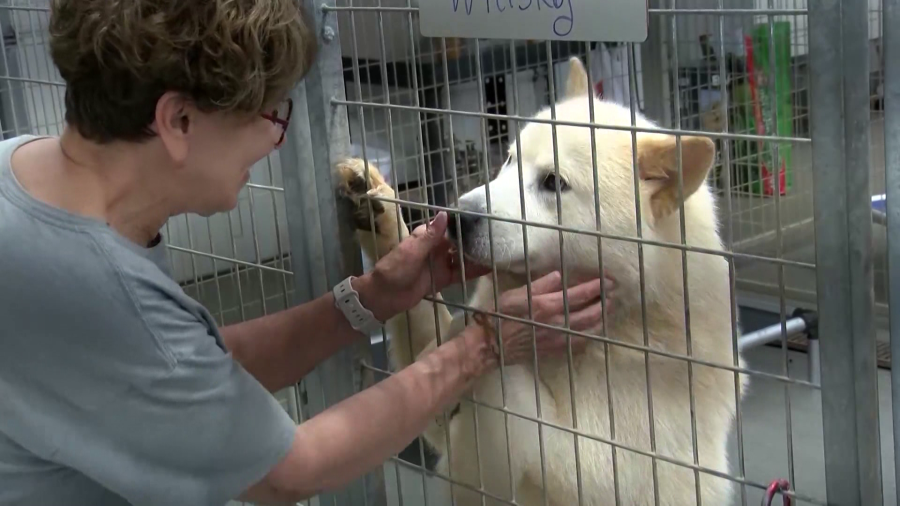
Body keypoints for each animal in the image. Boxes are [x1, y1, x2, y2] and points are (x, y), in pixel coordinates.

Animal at [338, 56, 744, 506]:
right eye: (510, 159)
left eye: (553, 182)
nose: (459, 218)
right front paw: (378, 207)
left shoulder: (604, 466)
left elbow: (504, 383)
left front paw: (488, 334)